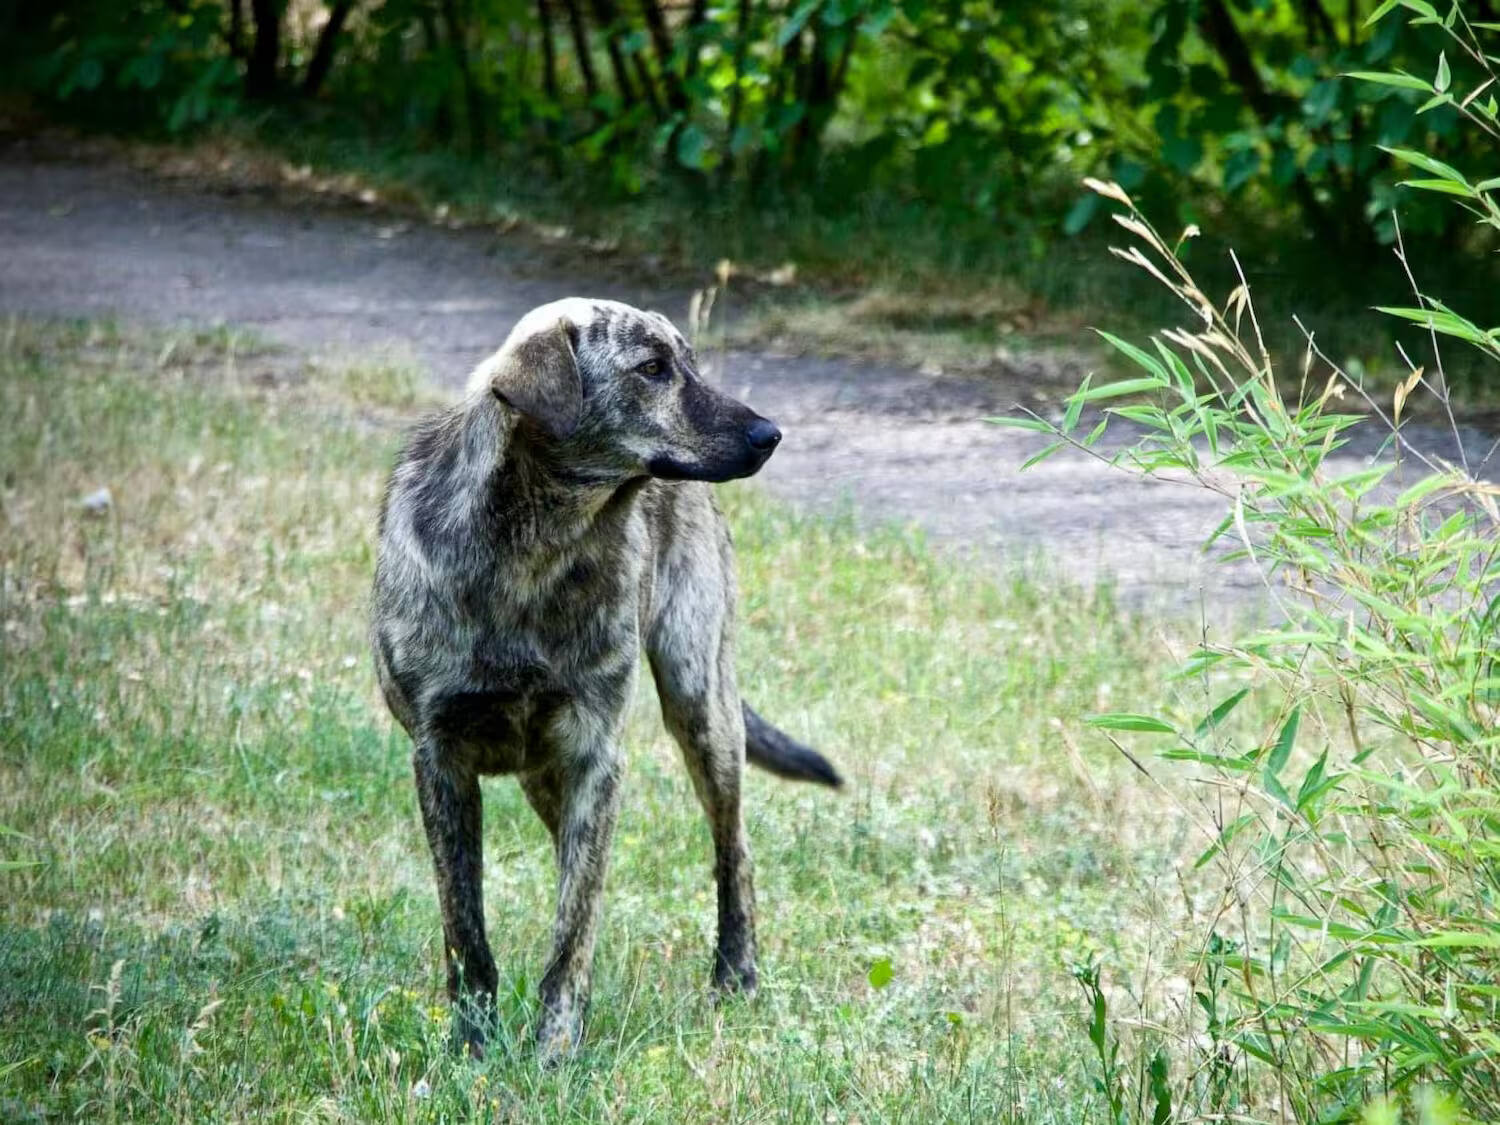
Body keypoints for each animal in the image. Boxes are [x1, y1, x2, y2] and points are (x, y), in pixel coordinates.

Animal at [372, 297, 846, 1068]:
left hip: (701, 706)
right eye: (651, 369)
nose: (770, 434)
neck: (531, 548)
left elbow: (572, 929)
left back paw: (736, 973)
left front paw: (554, 1052)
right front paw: (473, 1046)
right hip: (548, 771)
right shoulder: (441, 761)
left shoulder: (594, 754)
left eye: (688, 363)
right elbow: (465, 927)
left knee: (732, 850)